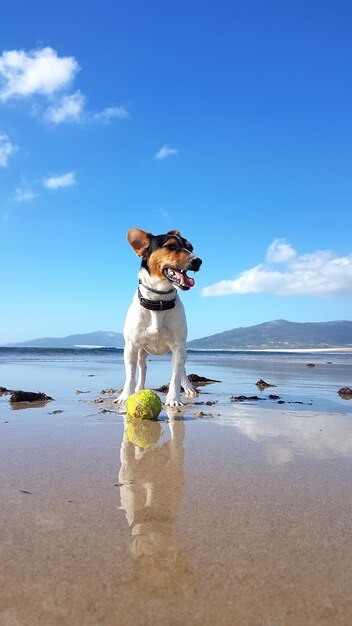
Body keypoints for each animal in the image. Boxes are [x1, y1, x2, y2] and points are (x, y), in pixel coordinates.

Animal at [117, 228, 202, 404]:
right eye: (171, 246)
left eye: (191, 247)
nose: (198, 261)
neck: (158, 301)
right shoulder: (131, 346)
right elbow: (130, 375)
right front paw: (125, 395)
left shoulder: (178, 346)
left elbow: (176, 376)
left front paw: (173, 399)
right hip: (141, 352)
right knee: (142, 368)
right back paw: (139, 389)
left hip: (182, 351)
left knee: (183, 370)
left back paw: (189, 387)